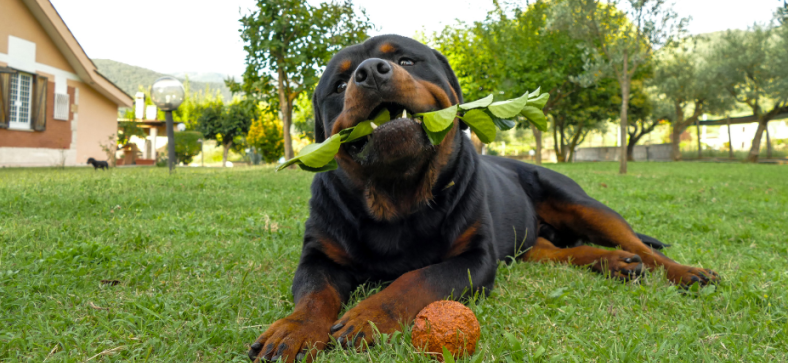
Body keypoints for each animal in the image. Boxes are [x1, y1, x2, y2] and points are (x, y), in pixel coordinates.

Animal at [248, 34, 720, 363]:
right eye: (341, 82)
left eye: (405, 60)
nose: (370, 71)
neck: (397, 195)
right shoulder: (319, 256)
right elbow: (315, 295)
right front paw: (293, 329)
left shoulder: (474, 259)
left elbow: (417, 279)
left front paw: (369, 315)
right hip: (528, 244)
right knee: (558, 253)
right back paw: (616, 263)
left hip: (579, 201)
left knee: (639, 243)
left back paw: (684, 271)